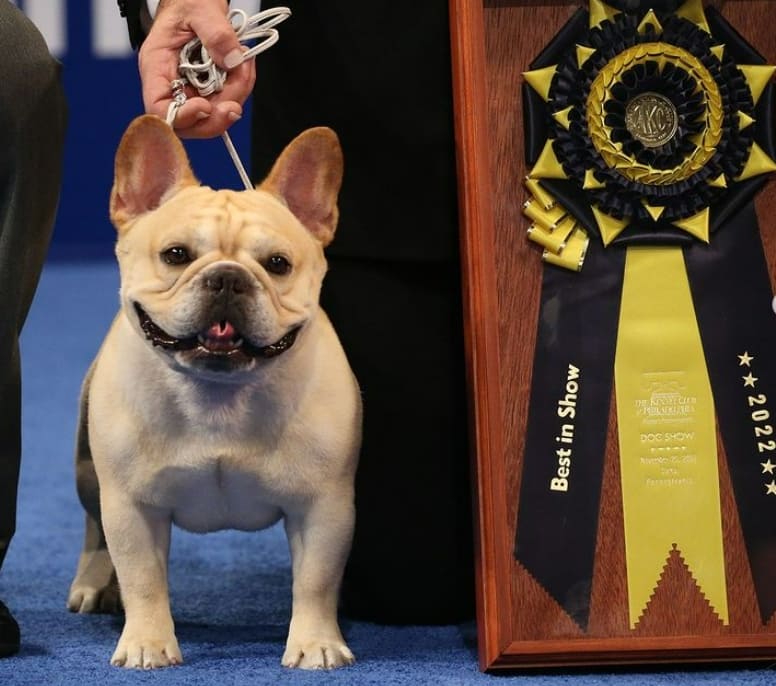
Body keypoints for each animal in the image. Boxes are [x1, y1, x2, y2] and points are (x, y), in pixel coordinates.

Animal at [66, 114, 360, 672]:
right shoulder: (131, 507)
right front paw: (147, 642)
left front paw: (315, 643)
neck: (219, 394)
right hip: (89, 473)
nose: (227, 278)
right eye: (176, 255)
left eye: (278, 263)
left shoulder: (323, 507)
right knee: (94, 529)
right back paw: (93, 583)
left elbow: (316, 581)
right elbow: (142, 577)